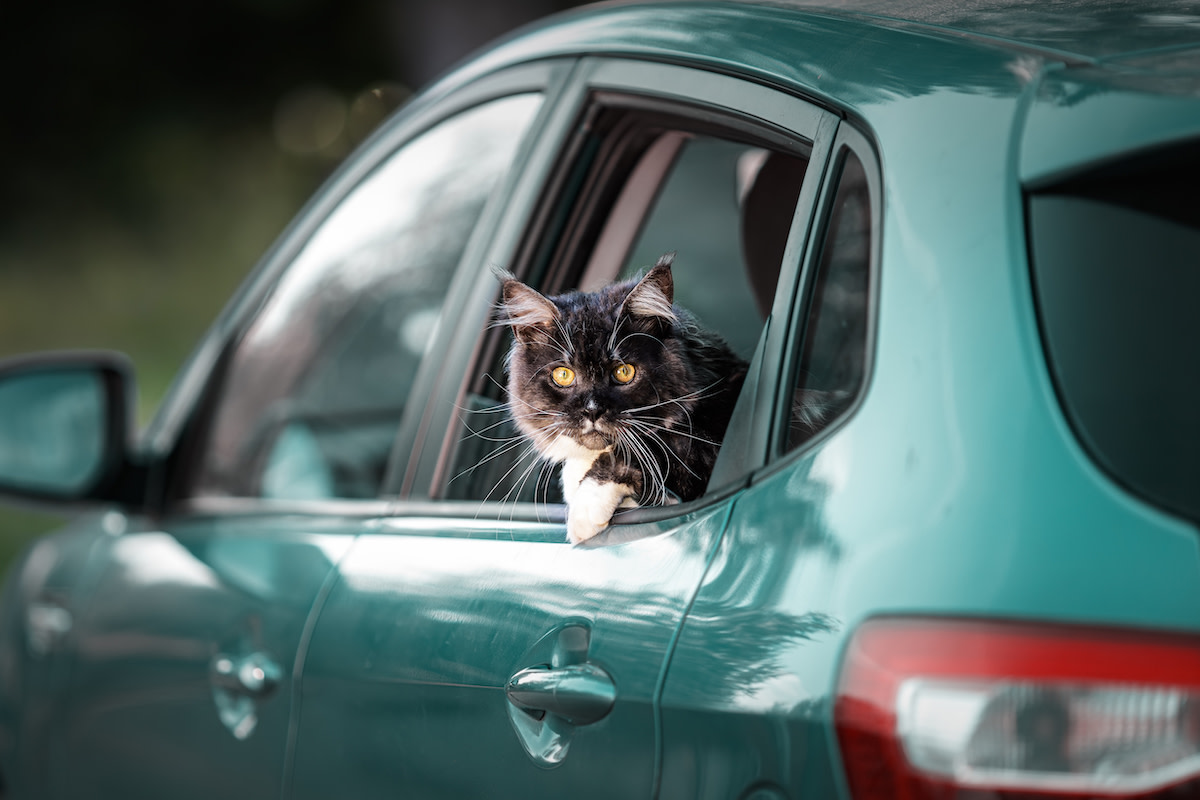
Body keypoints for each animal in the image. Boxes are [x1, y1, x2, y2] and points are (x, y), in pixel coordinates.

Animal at [492, 256, 744, 544]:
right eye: (563, 375)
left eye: (624, 372)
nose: (592, 411)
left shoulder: (703, 445)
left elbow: (641, 450)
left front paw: (585, 511)